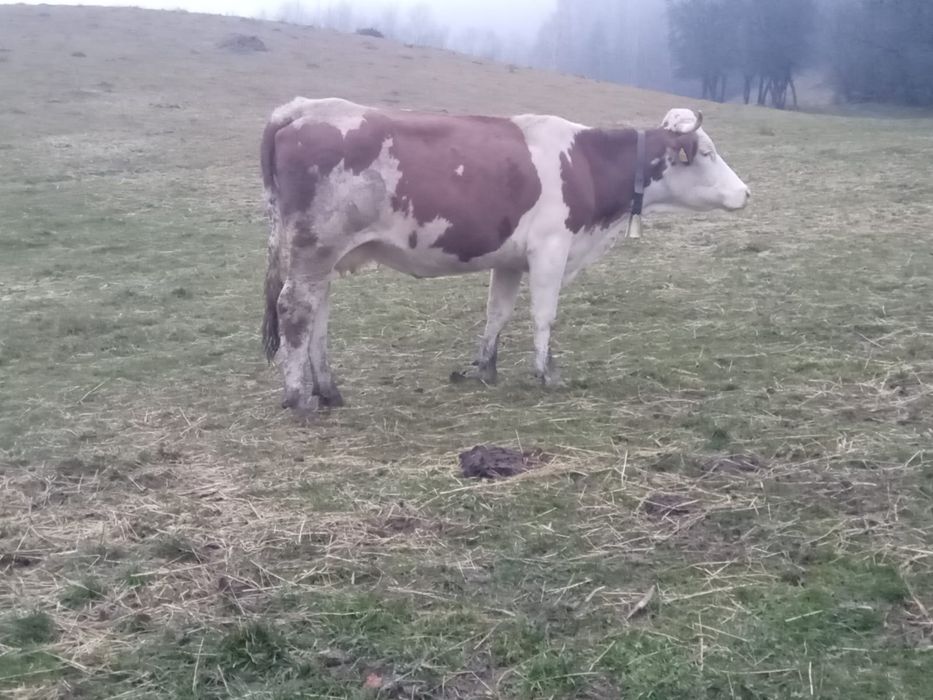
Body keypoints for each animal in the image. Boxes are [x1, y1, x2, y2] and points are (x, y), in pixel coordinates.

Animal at [260, 97, 750, 415]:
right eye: (707, 152)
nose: (745, 192)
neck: (586, 163)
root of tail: (303, 108)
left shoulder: (510, 259)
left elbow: (498, 312)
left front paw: (484, 368)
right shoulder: (551, 249)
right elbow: (543, 316)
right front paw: (546, 374)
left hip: (321, 257)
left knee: (318, 316)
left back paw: (328, 391)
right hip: (314, 247)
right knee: (296, 310)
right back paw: (298, 398)